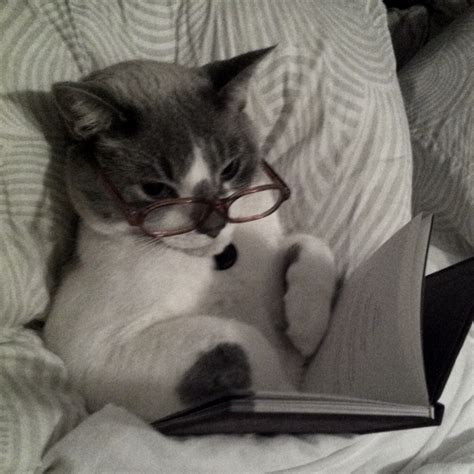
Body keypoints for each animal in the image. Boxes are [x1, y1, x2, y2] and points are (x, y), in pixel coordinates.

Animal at [42, 46, 336, 420]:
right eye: (155, 189)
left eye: (230, 168)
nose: (214, 225)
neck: (220, 260)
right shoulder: (91, 351)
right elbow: (244, 341)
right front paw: (300, 401)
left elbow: (311, 244)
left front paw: (307, 328)